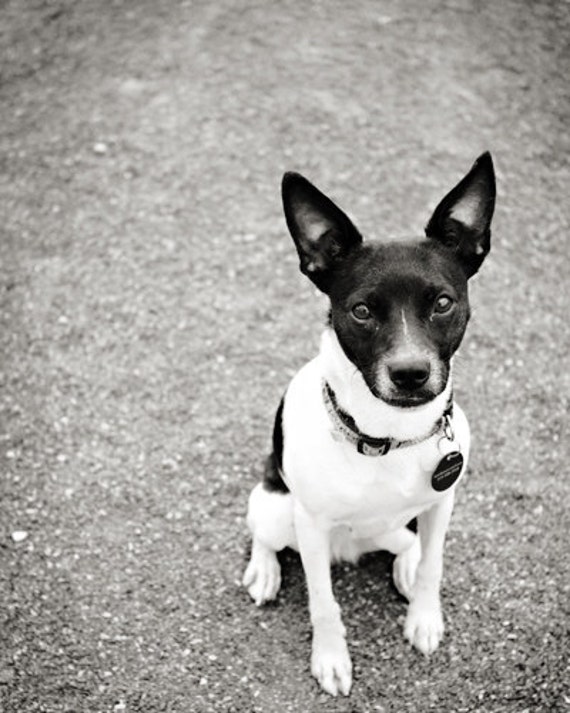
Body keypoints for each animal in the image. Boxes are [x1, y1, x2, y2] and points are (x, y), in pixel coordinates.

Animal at [242, 154, 494, 696]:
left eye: (442, 303)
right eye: (360, 311)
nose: (410, 373)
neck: (388, 435)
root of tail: (350, 551)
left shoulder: (442, 503)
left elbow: (434, 566)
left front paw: (424, 616)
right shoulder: (311, 527)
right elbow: (323, 603)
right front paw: (331, 658)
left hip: (395, 524)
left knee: (407, 545)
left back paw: (405, 564)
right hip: (276, 507)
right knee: (264, 537)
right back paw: (263, 571)